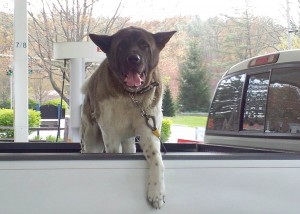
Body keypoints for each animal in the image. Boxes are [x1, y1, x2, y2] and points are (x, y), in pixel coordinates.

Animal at [81, 25, 177, 208]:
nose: (133, 59)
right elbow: (113, 153)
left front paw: (157, 193)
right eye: (121, 46)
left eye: (144, 45)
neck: (131, 96)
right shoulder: (111, 136)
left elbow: (157, 160)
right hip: (91, 138)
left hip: (129, 141)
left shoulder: (148, 132)